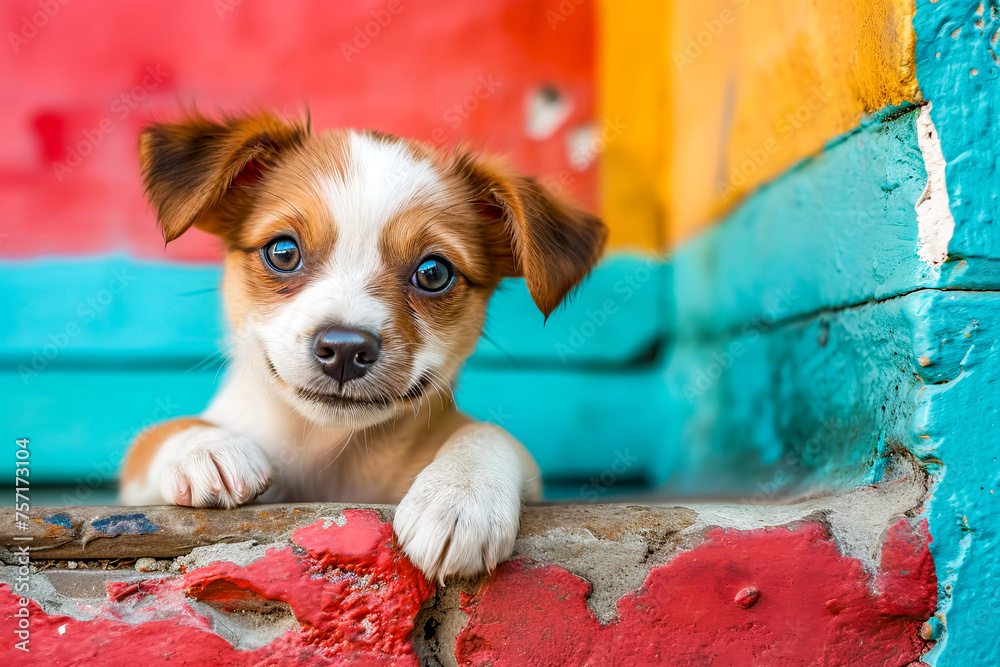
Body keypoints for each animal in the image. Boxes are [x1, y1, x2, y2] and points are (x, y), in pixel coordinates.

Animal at [117, 112, 600, 580]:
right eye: (283, 252)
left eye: (433, 273)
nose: (346, 350)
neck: (327, 451)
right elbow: (160, 433)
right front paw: (207, 448)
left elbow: (488, 431)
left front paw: (461, 495)